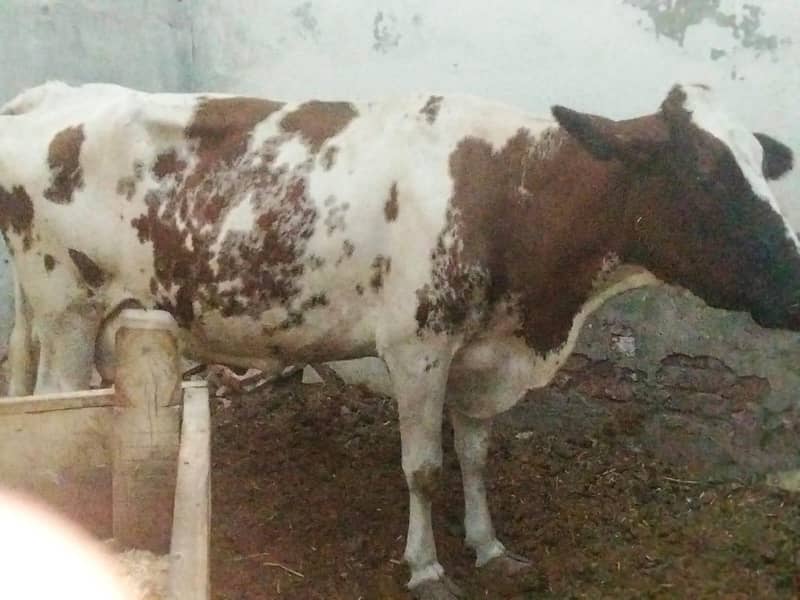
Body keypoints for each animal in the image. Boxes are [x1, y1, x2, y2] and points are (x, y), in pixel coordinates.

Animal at [1, 80, 798, 598]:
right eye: (707, 174)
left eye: (764, 167)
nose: (793, 282)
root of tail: (49, 93)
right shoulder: (417, 348)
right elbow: (423, 468)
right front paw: (428, 568)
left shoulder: (481, 351)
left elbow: (475, 455)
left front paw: (489, 546)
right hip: (68, 314)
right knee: (58, 408)